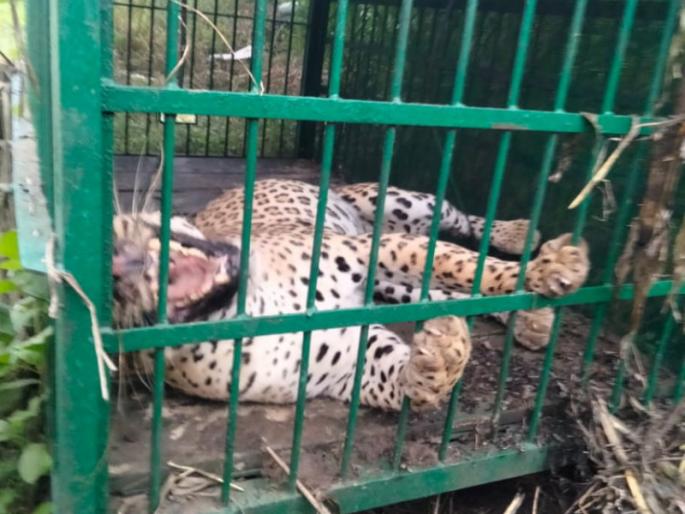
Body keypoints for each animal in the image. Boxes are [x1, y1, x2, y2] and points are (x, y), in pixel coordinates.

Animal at [112, 179, 589, 411]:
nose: (116, 262)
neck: (249, 311)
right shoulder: (344, 360)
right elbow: (406, 384)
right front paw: (438, 358)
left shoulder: (371, 249)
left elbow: (465, 264)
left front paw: (553, 269)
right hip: (392, 282)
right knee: (437, 291)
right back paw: (529, 321)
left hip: (406, 206)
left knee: (463, 227)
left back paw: (523, 236)